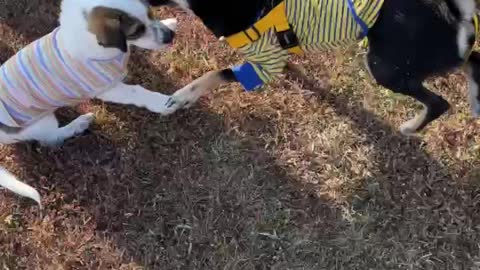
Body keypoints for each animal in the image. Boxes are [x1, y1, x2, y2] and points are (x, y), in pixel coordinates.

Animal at [0, 0, 178, 208]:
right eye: (136, 31)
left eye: (150, 14)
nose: (170, 36)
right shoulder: (108, 89)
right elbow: (137, 91)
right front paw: (163, 102)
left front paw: (170, 22)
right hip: (43, 122)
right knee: (51, 138)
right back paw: (79, 124)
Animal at [152, 0, 480, 137]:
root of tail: (455, 16)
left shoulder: (263, 66)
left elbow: (216, 73)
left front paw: (183, 96)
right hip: (417, 61)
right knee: (472, 60)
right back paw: (475, 100)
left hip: (384, 67)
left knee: (439, 102)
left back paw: (411, 127)